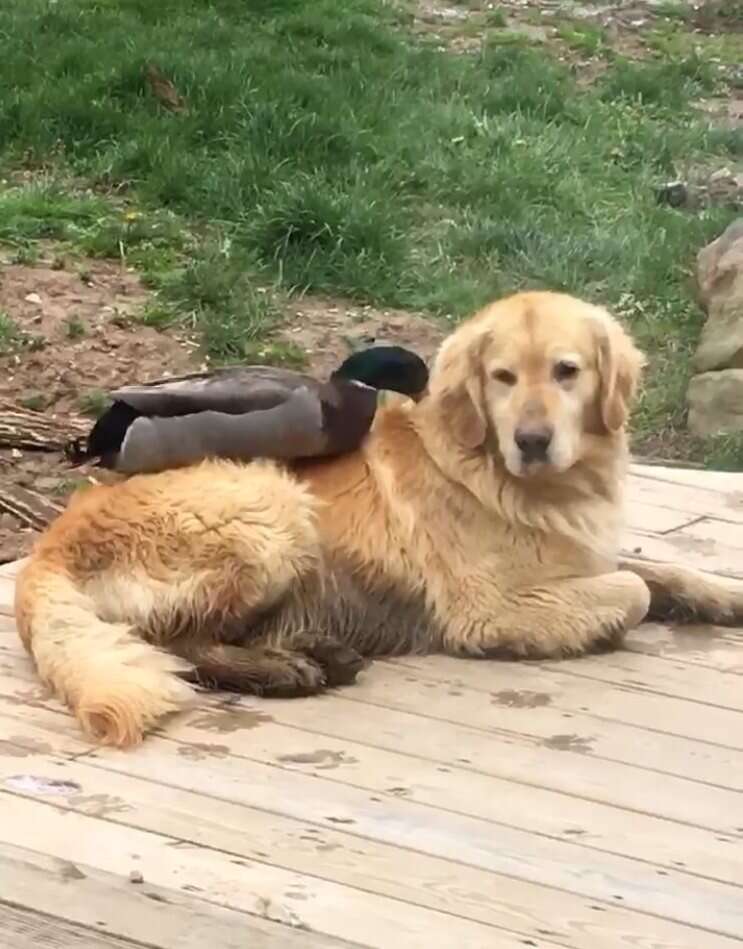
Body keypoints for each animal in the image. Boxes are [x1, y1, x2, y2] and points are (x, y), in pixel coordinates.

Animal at [14, 290, 743, 748]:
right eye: (502, 377)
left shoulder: (583, 552)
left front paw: (720, 595)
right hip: (272, 511)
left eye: (567, 371)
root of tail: (49, 542)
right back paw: (286, 669)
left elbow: (660, 570)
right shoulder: (488, 609)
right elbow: (634, 589)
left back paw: (314, 653)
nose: (532, 441)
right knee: (179, 641)